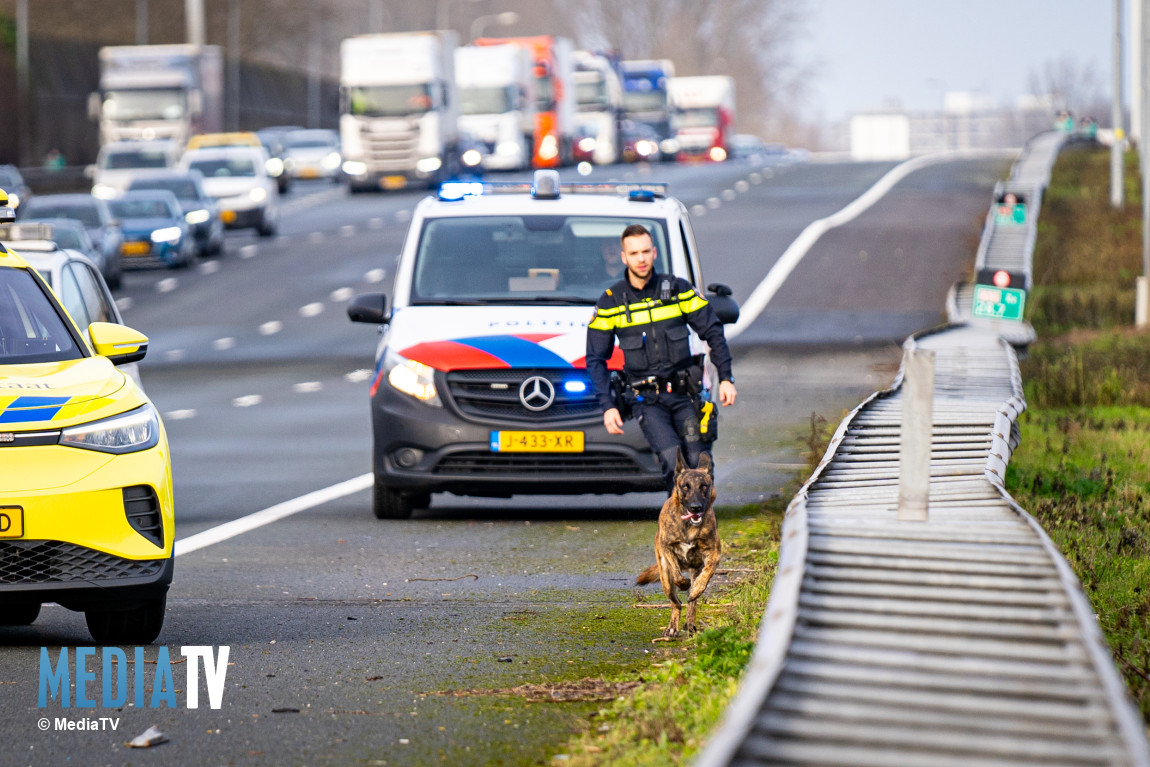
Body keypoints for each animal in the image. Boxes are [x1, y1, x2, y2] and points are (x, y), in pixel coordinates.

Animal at [639, 453, 717, 639]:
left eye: (704, 486)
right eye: (685, 487)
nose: (696, 507)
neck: (689, 526)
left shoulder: (714, 552)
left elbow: (706, 574)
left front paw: (696, 589)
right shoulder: (667, 549)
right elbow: (676, 573)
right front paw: (683, 583)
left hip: (694, 571)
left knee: (691, 604)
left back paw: (689, 623)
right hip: (665, 579)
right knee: (676, 602)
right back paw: (672, 627)